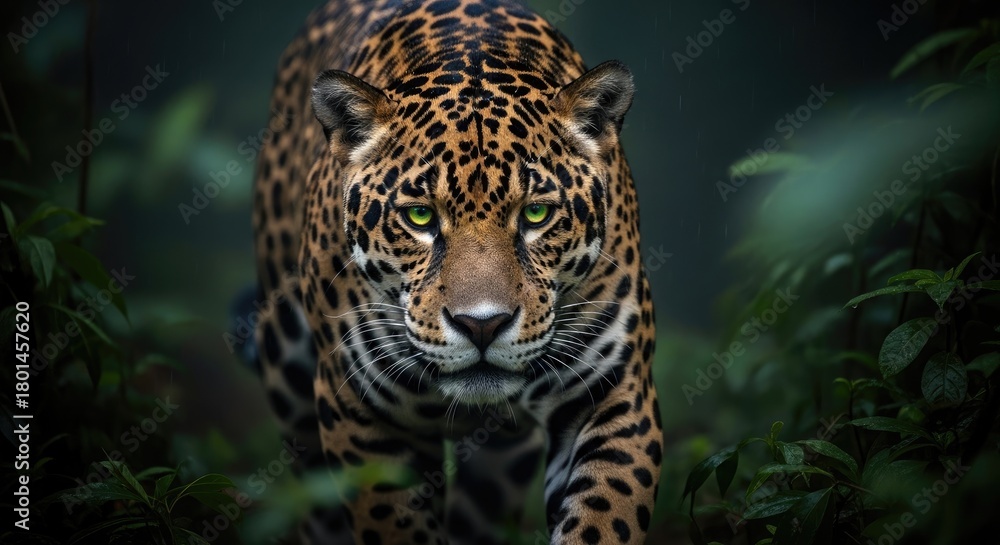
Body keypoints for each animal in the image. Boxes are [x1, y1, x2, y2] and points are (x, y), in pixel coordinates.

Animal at [251, 0, 662, 543]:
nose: (482, 325)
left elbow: (604, 517)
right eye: (420, 217)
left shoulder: (617, 391)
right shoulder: (359, 413)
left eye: (536, 214)